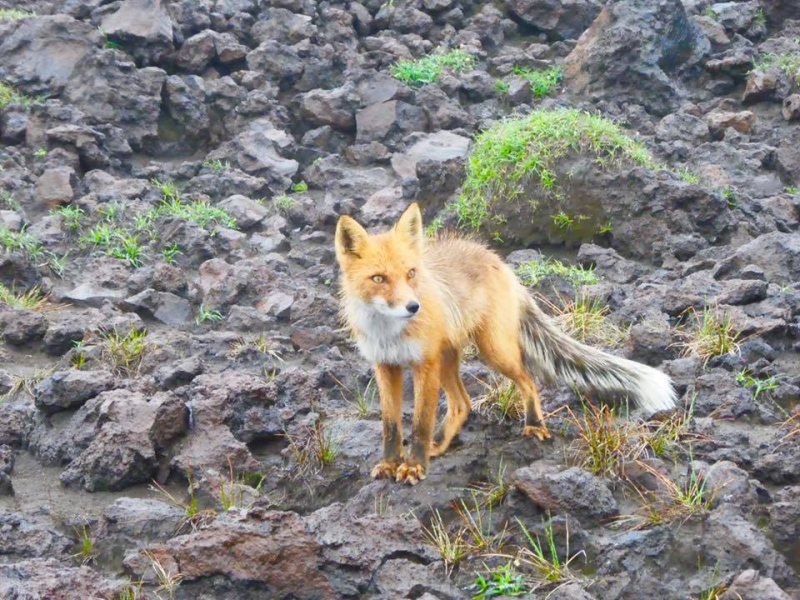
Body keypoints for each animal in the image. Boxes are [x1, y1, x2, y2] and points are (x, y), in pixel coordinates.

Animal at [332, 204, 676, 486]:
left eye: (411, 273)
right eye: (379, 279)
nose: (413, 307)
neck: (388, 332)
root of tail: (496, 259)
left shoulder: (424, 364)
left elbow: (419, 424)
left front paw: (414, 467)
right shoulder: (385, 365)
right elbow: (391, 425)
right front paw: (391, 464)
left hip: (493, 351)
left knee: (528, 379)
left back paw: (534, 426)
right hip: (450, 358)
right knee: (463, 403)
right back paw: (439, 444)